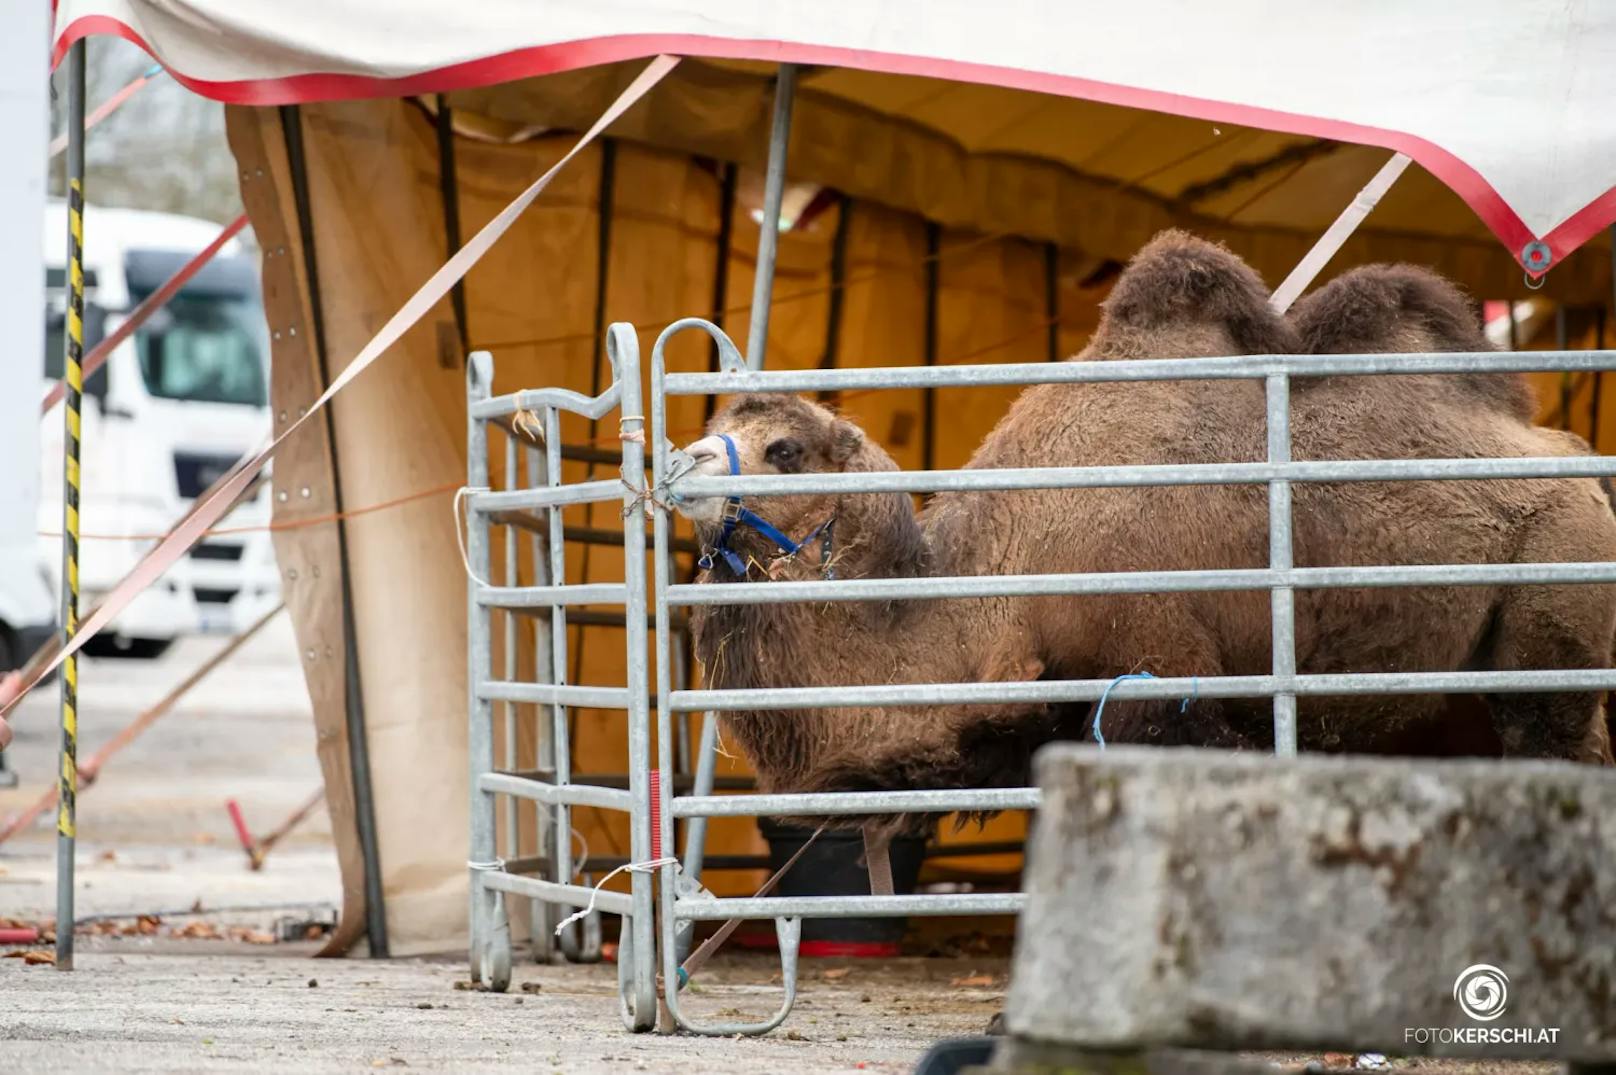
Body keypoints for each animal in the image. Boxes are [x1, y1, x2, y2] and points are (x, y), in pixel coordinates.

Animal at [672, 231, 1616, 824]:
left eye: (784, 447)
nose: (677, 465)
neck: (998, 587)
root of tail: (1581, 463)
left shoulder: (1162, 675)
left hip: (1551, 596)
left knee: (1552, 742)